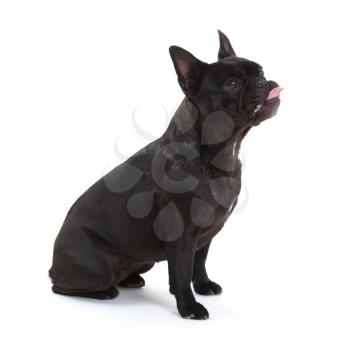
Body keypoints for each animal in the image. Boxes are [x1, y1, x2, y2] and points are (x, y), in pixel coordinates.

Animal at [48, 31, 282, 320]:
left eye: (261, 71)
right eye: (233, 84)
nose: (264, 82)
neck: (220, 155)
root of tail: (53, 265)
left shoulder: (206, 232)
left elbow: (199, 262)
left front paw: (203, 285)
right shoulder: (180, 232)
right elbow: (181, 272)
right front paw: (189, 307)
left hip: (143, 261)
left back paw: (130, 279)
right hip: (99, 265)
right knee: (62, 287)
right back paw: (104, 292)